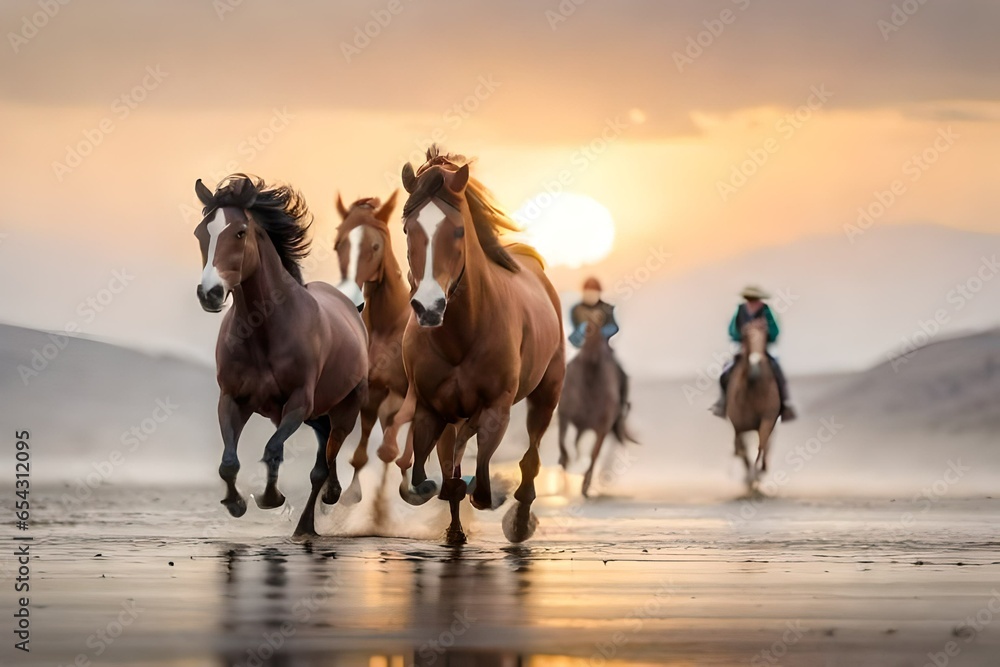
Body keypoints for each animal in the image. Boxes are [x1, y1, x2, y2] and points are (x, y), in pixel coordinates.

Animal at [192, 174, 369, 537]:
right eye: (201, 232)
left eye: (240, 232)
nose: (210, 293)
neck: (264, 332)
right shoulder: (232, 399)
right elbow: (228, 462)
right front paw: (236, 504)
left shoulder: (298, 401)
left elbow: (273, 450)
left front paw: (270, 498)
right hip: (317, 414)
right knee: (324, 448)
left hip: (345, 408)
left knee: (326, 459)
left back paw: (312, 518)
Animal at [332, 191, 412, 502]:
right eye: (338, 244)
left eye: (375, 246)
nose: (349, 296)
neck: (387, 324)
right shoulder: (374, 389)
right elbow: (362, 451)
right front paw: (352, 494)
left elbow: (391, 449)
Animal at [379, 147, 565, 545]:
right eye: (407, 229)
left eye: (458, 230)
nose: (429, 307)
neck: (461, 336)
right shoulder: (430, 409)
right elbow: (431, 473)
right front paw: (437, 498)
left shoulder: (496, 408)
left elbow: (480, 477)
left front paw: (491, 494)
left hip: (548, 391)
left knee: (530, 458)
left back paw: (519, 521)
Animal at [557, 319, 635, 497]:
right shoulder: (564, 416)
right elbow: (563, 442)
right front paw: (565, 462)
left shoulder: (601, 429)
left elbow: (593, 454)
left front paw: (585, 484)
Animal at [725, 318, 781, 490]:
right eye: (745, 336)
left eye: (766, 335)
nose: (755, 364)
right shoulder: (738, 426)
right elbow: (742, 449)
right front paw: (748, 477)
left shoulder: (767, 420)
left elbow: (761, 446)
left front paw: (755, 476)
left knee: (766, 446)